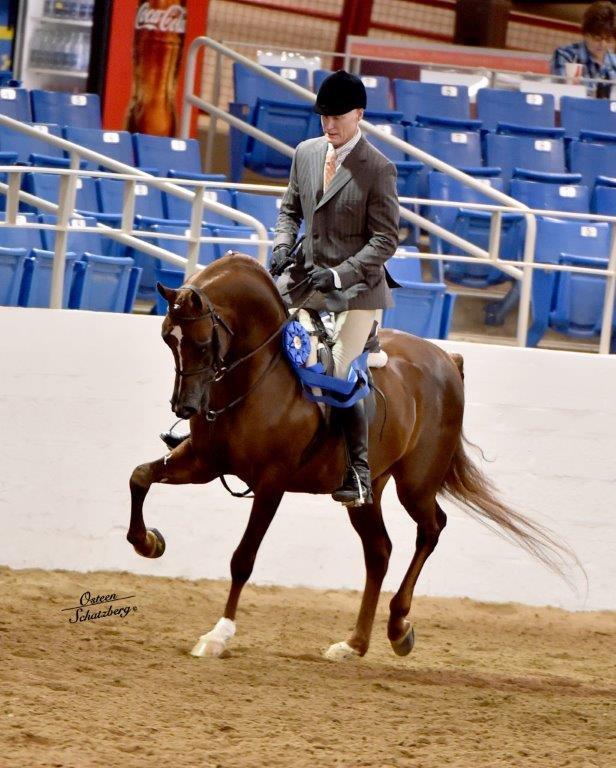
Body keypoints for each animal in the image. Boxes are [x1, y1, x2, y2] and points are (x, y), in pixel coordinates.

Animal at [127, 253, 566, 660]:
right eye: (167, 338)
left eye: (201, 342)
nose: (185, 406)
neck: (257, 375)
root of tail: (447, 359)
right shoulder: (203, 461)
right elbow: (140, 476)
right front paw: (149, 542)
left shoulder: (271, 482)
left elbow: (243, 558)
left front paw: (218, 635)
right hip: (369, 490)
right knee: (380, 551)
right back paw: (355, 643)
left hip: (417, 483)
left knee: (431, 529)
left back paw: (398, 626)